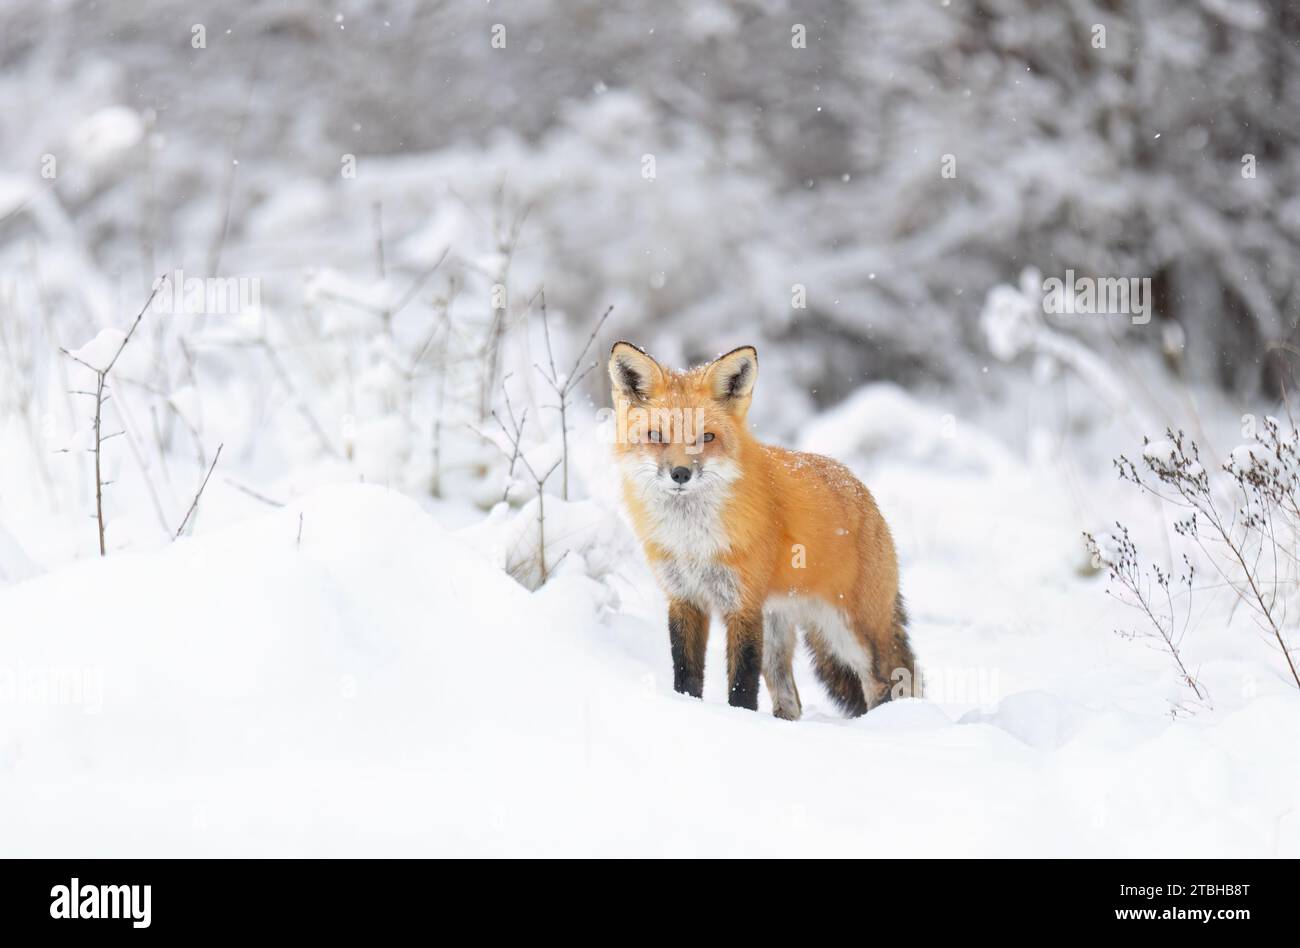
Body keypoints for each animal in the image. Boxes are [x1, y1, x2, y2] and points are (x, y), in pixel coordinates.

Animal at [605, 343, 915, 717]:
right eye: (656, 436)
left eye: (706, 437)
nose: (680, 474)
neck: (692, 541)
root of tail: (858, 487)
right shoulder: (684, 598)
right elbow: (687, 673)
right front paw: (687, 707)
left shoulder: (744, 603)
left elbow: (742, 683)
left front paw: (741, 720)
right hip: (779, 630)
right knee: (790, 698)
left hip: (849, 631)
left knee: (882, 684)